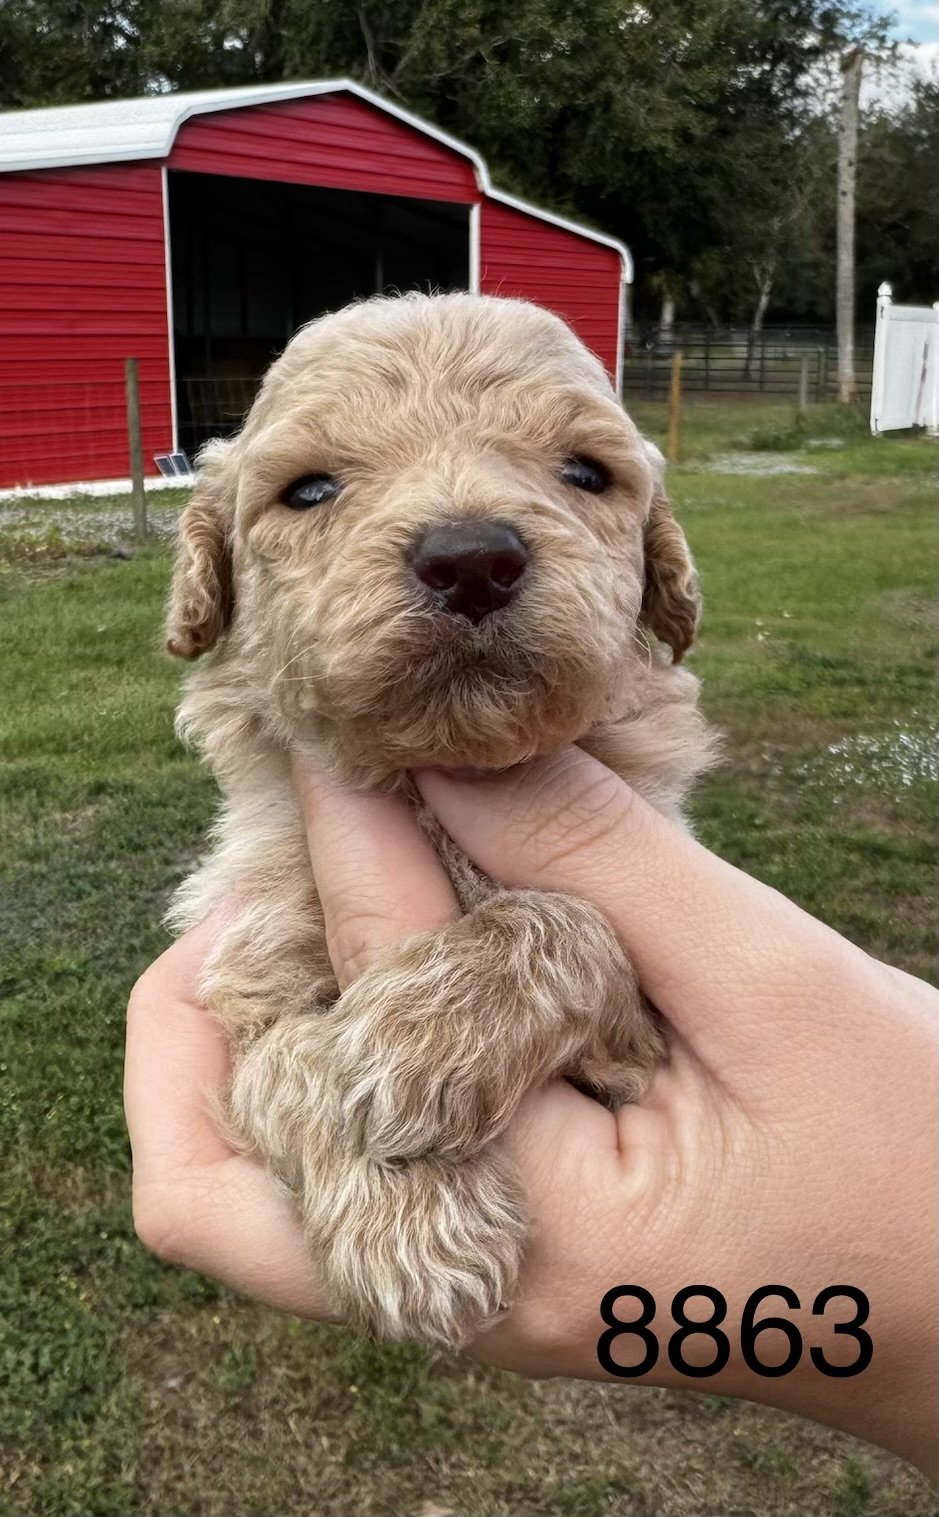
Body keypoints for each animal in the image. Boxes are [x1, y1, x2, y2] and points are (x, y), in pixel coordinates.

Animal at [165, 291, 715, 1348]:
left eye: (585, 472)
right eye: (307, 490)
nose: (471, 558)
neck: (436, 783)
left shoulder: (649, 1035)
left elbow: (574, 919)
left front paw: (414, 1041)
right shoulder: (254, 967)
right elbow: (289, 1061)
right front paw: (409, 1216)